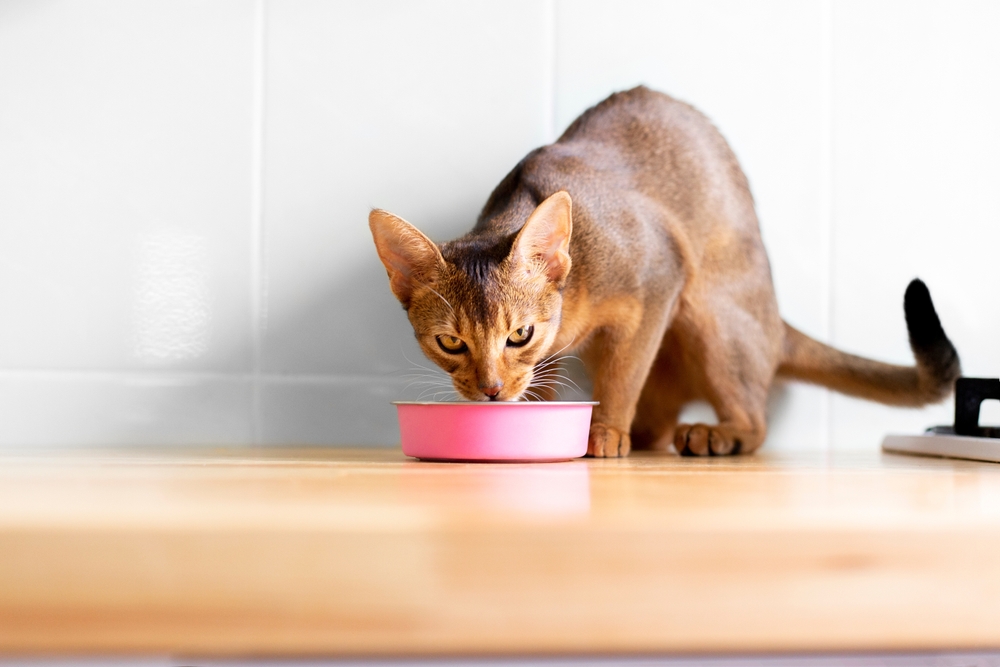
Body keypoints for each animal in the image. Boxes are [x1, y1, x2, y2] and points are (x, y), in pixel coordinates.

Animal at [368, 85, 960, 460]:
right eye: (450, 342)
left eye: (520, 334)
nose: (490, 391)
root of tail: (775, 320)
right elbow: (549, 376)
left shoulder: (658, 280)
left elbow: (624, 375)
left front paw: (605, 432)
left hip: (709, 311)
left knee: (756, 420)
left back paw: (714, 434)